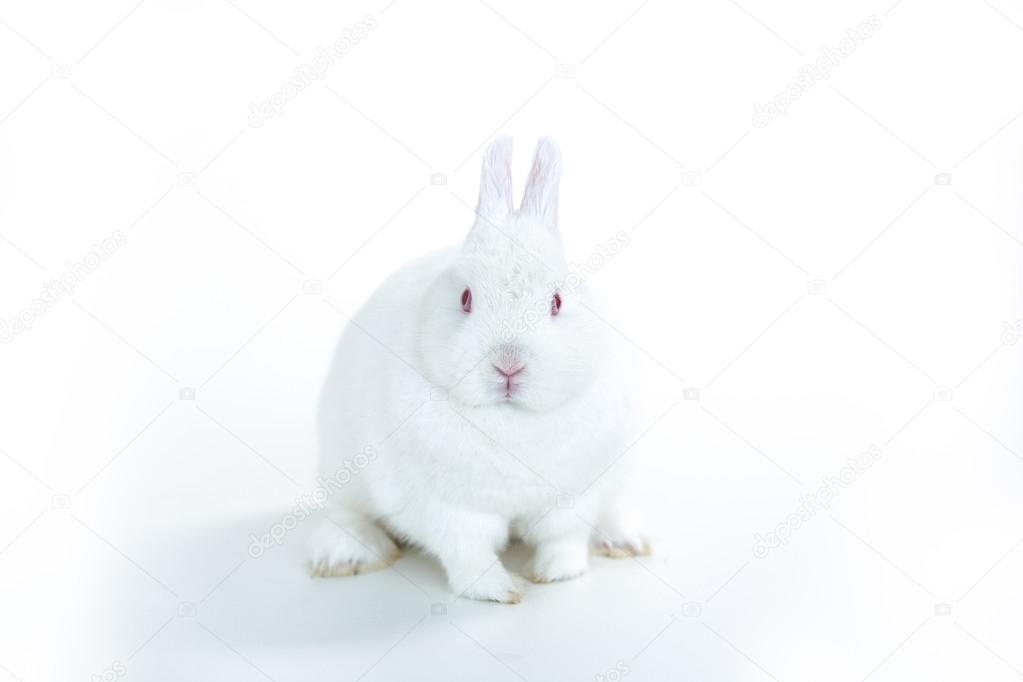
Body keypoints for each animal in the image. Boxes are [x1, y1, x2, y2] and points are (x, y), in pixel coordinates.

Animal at [308, 136, 649, 603]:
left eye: (556, 301)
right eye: (466, 298)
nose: (508, 366)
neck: (512, 421)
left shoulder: (575, 497)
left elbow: (563, 540)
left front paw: (555, 575)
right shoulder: (448, 510)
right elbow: (468, 554)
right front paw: (501, 591)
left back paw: (624, 540)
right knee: (345, 513)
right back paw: (346, 556)